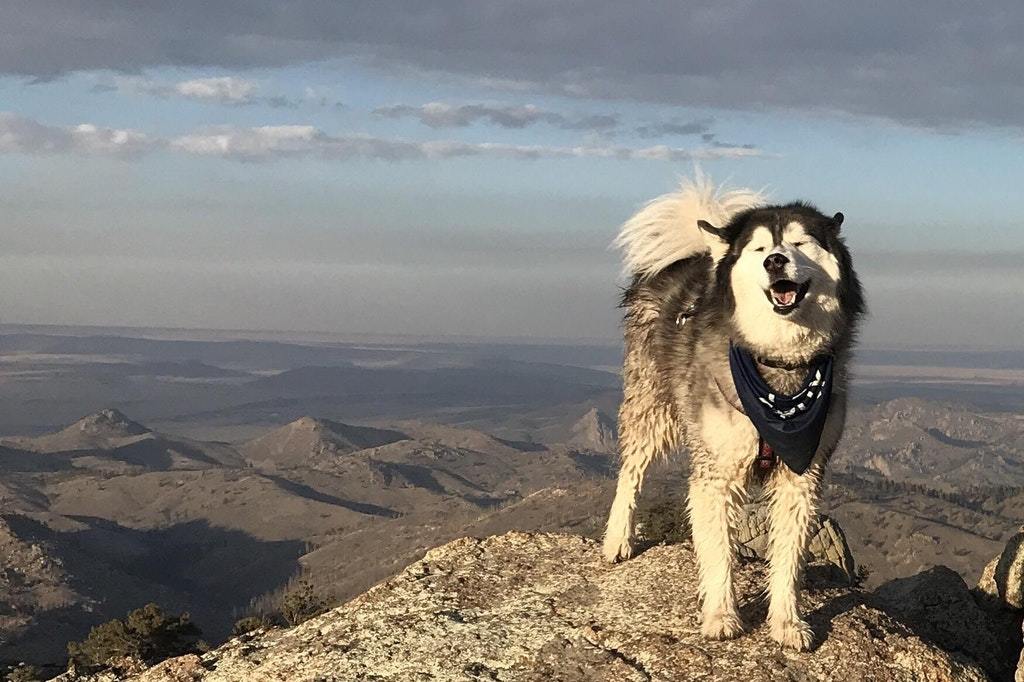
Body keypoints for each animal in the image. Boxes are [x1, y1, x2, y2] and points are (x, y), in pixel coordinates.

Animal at [598, 174, 864, 647]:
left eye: (800, 242)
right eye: (759, 249)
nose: (776, 261)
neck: (779, 366)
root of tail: (690, 260)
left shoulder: (802, 475)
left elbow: (788, 558)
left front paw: (786, 622)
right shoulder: (716, 472)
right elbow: (717, 552)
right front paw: (721, 614)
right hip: (653, 408)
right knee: (631, 472)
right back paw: (618, 540)